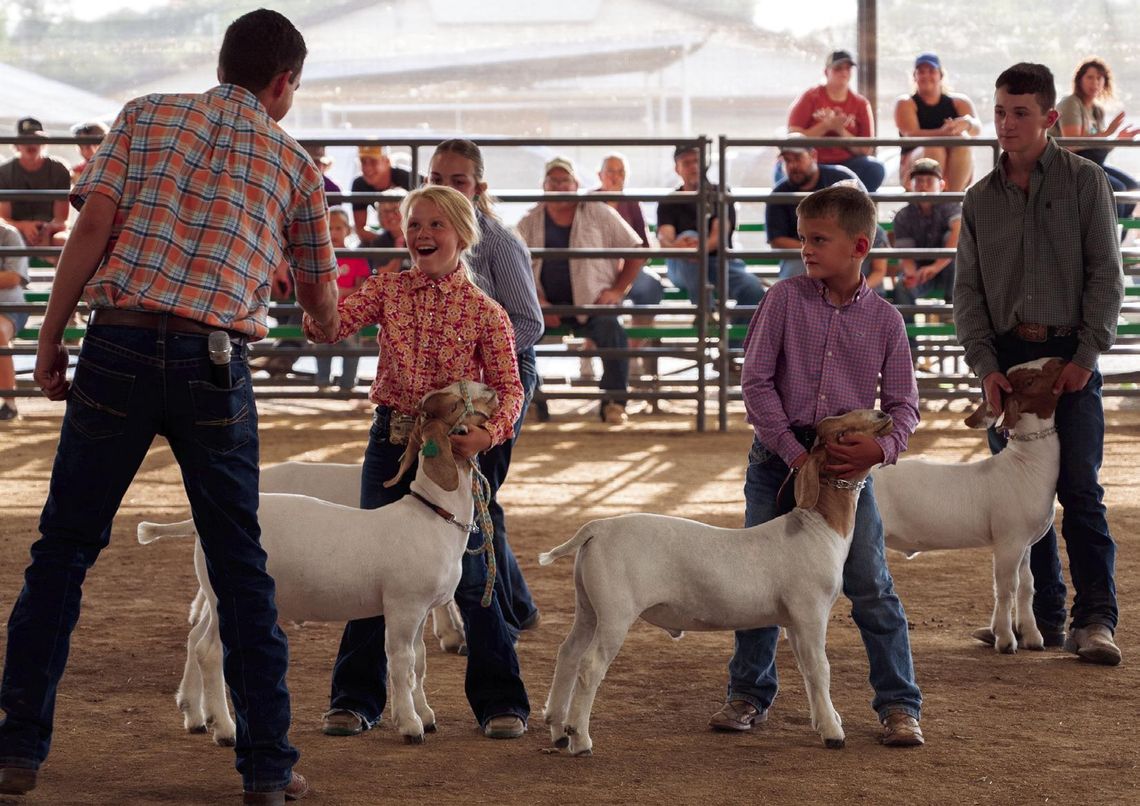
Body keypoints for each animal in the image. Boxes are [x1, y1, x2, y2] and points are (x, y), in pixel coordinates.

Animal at [140, 380, 497, 747]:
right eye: (454, 403)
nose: (492, 391)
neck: (433, 515)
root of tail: (200, 524)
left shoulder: (422, 609)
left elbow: (420, 661)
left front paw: (425, 714)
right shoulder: (404, 604)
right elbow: (402, 663)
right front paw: (410, 724)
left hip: (213, 594)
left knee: (196, 638)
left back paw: (195, 714)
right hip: (228, 590)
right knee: (209, 651)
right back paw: (225, 729)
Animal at [538, 410, 893, 756]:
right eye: (843, 433)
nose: (883, 414)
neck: (819, 527)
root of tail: (597, 528)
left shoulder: (794, 620)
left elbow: (807, 670)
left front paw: (825, 720)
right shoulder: (810, 611)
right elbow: (820, 668)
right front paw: (833, 733)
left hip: (588, 605)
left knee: (568, 653)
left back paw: (557, 730)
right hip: (615, 611)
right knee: (589, 665)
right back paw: (579, 738)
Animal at [870, 357, 1067, 656]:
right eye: (1030, 381)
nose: (1059, 360)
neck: (1025, 465)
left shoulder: (1025, 542)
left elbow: (1026, 586)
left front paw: (1032, 636)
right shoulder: (1008, 540)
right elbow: (1006, 588)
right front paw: (1005, 639)